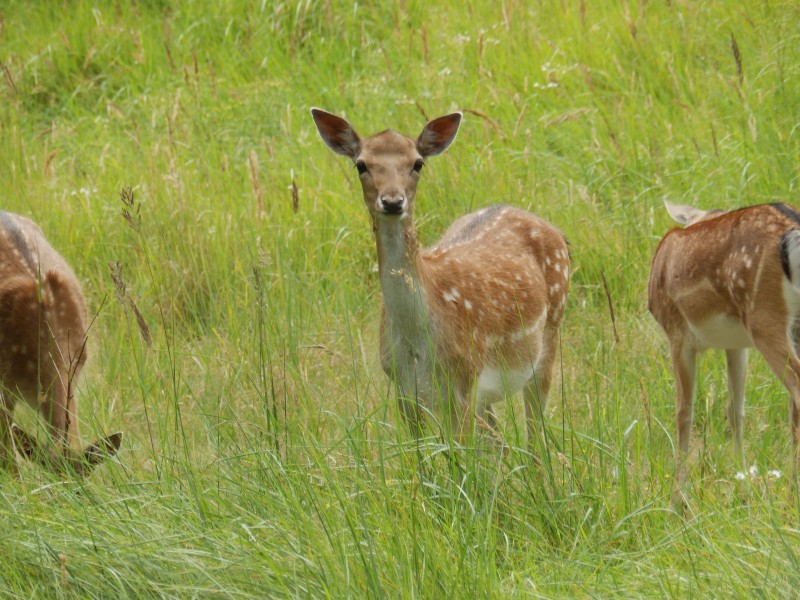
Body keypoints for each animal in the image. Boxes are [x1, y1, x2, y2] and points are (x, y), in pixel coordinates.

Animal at [310, 108, 568, 448]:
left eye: (417, 163)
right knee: (500, 442)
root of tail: (557, 233)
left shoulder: (464, 378)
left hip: (549, 336)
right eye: (361, 164)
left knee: (535, 437)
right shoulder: (402, 386)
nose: (392, 201)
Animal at [648, 199, 800, 490]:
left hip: (764, 317)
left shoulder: (677, 334)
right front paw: (742, 477)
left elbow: (683, 413)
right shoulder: (736, 344)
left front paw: (678, 493)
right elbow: (735, 411)